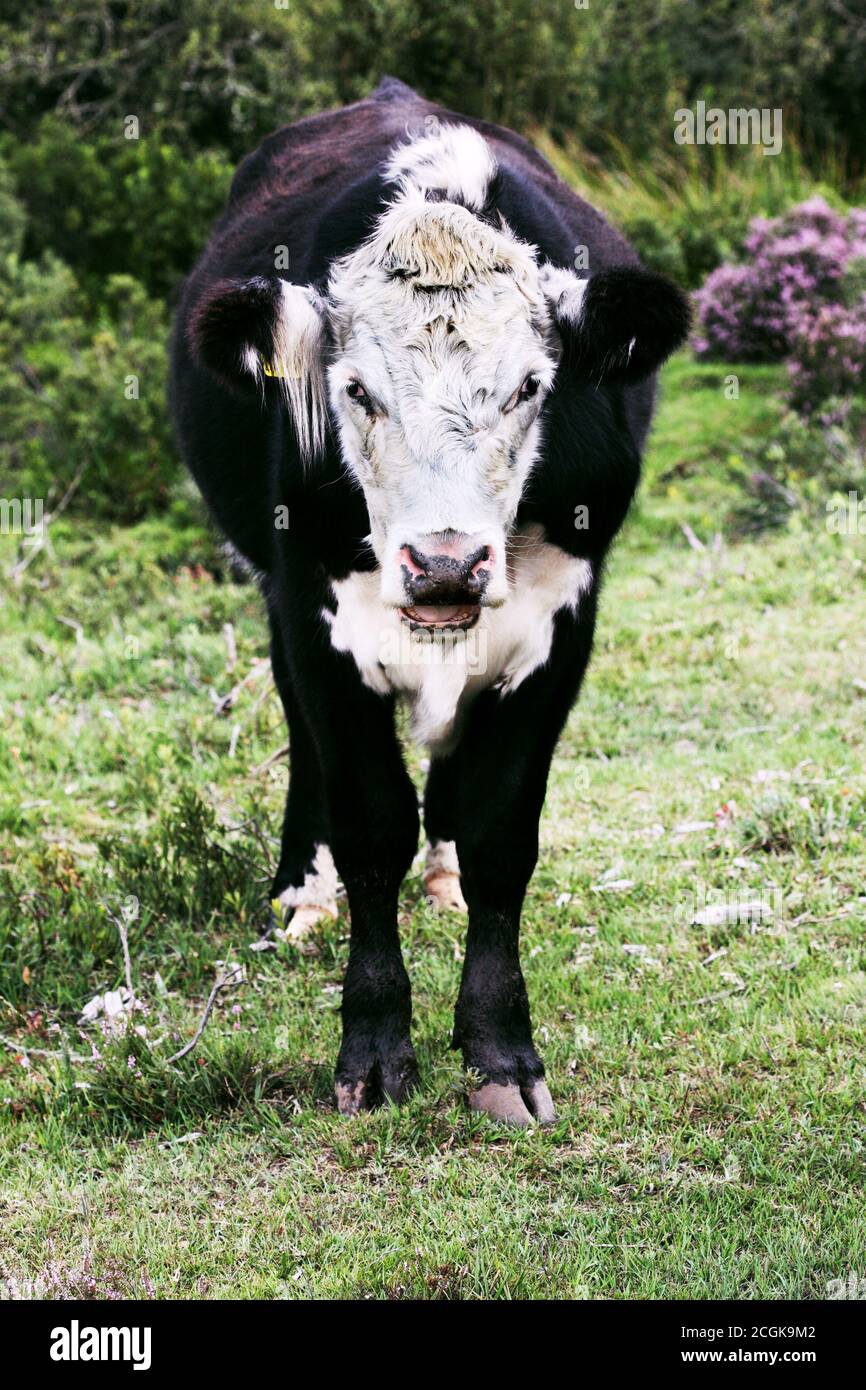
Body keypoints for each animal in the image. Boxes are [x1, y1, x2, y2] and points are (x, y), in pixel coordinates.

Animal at [170, 76, 692, 1128]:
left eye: (531, 386)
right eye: (355, 390)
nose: (445, 566)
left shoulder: (561, 629)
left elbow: (500, 832)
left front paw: (500, 1052)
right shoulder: (316, 618)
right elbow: (371, 824)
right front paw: (373, 1050)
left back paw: (442, 877)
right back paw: (304, 893)